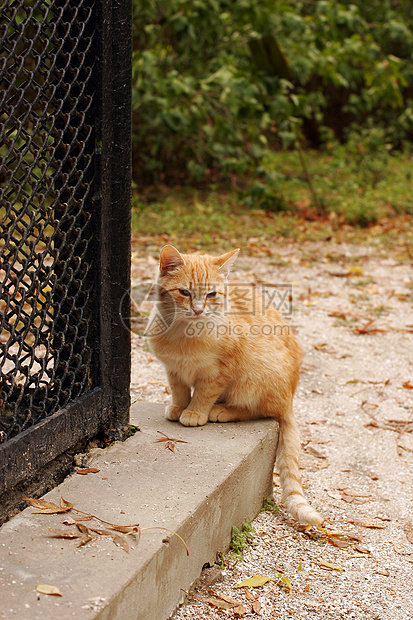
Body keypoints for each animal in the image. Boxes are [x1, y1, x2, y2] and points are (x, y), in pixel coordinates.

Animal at [148, 245, 322, 524]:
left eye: (211, 294)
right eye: (184, 292)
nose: (198, 310)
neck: (185, 334)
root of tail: (290, 399)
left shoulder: (220, 371)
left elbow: (204, 394)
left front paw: (195, 412)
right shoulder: (173, 369)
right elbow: (179, 390)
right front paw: (179, 407)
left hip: (253, 377)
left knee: (262, 411)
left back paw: (223, 410)